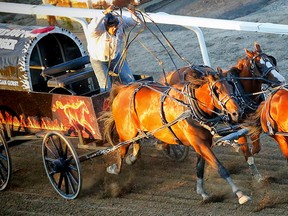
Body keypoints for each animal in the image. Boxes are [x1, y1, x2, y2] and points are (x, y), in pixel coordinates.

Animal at [102, 68, 253, 205]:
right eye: (217, 89)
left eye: (231, 85)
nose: (237, 113)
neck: (190, 107)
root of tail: (122, 90)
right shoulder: (200, 144)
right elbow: (220, 168)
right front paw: (240, 194)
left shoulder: (202, 143)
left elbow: (199, 168)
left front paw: (202, 192)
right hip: (125, 134)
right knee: (121, 152)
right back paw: (114, 169)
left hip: (138, 132)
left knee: (136, 147)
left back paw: (131, 159)